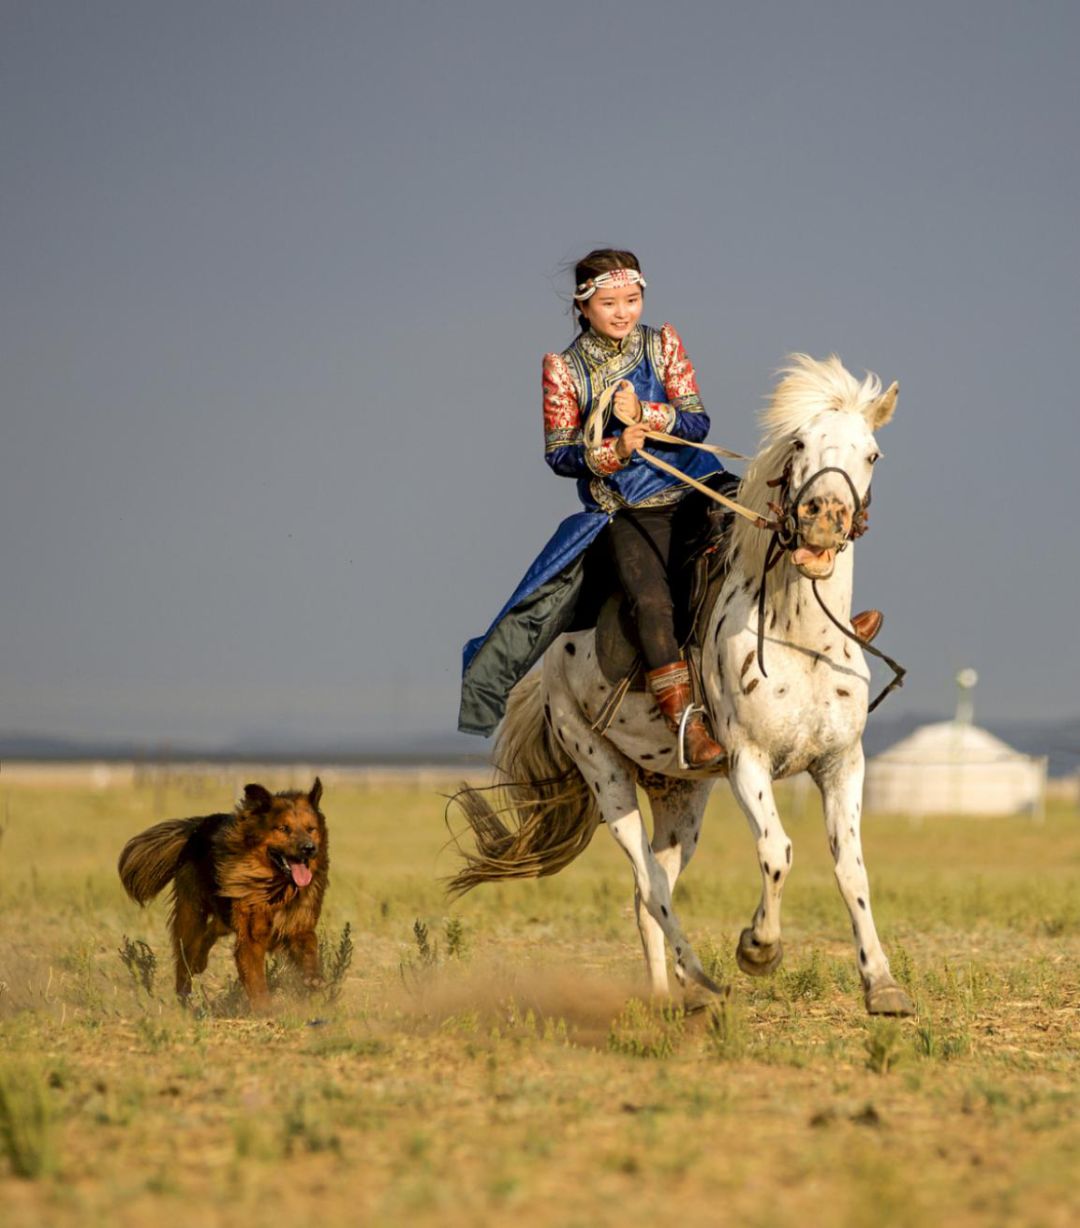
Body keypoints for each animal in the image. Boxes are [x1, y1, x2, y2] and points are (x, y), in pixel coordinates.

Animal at [450, 354, 914, 1017]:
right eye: (799, 443)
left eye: (871, 453)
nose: (824, 520)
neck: (797, 636)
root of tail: (547, 667)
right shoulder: (748, 761)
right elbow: (777, 852)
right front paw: (758, 949)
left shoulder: (841, 763)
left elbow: (851, 869)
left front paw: (882, 983)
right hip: (605, 773)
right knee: (650, 883)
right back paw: (700, 980)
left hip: (681, 791)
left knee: (652, 888)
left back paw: (671, 996)